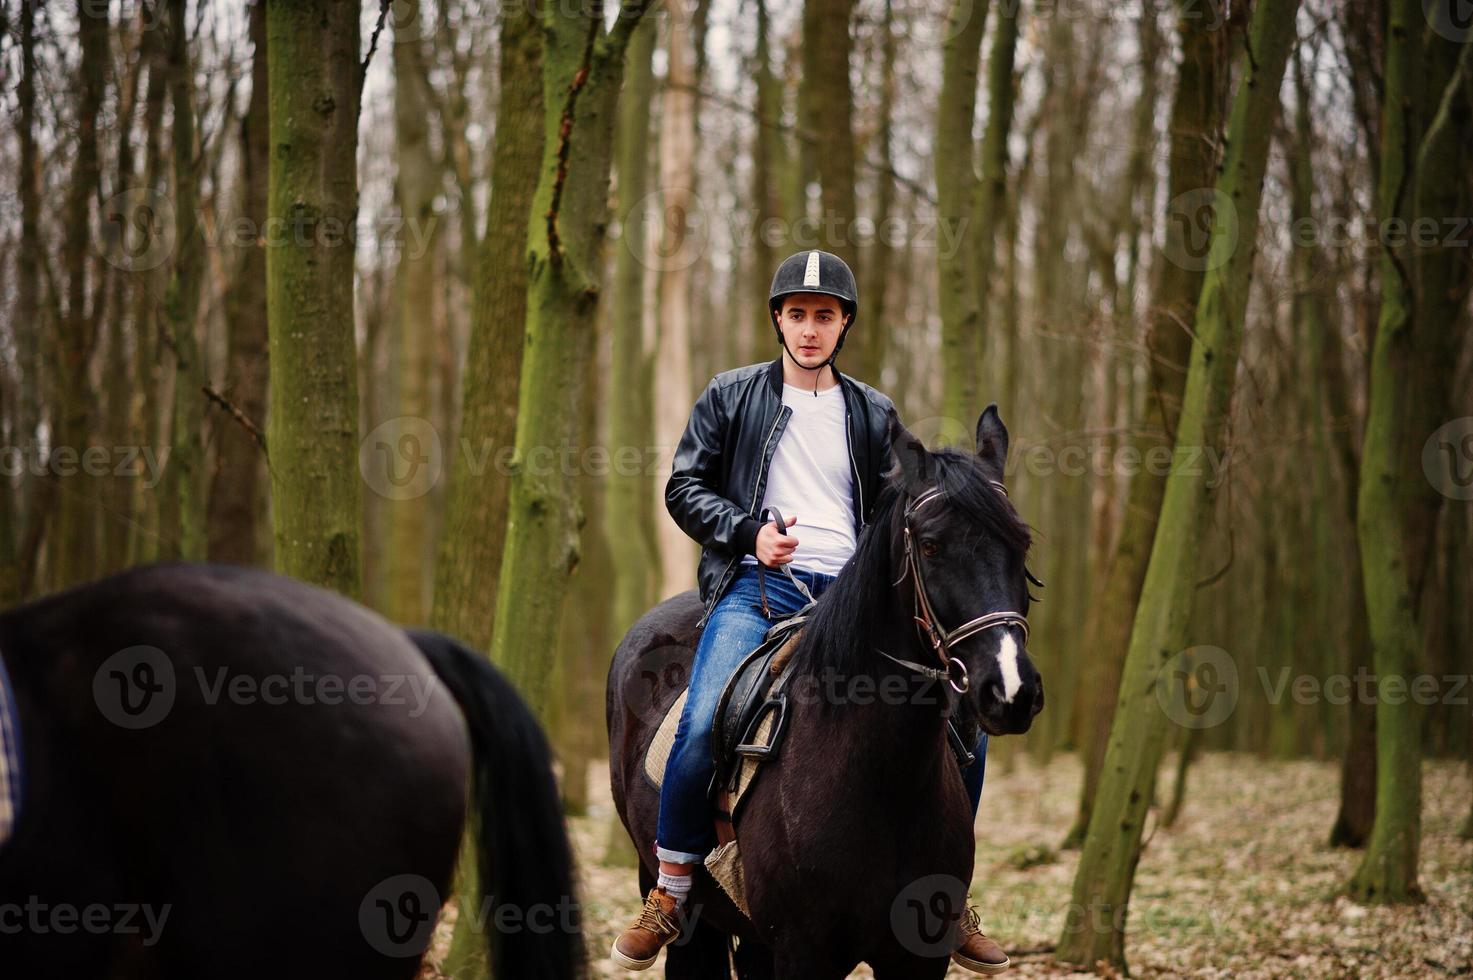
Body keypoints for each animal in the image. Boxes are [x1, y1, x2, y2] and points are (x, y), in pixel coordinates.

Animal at [609, 406, 1048, 978]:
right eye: (931, 545)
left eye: (1022, 543)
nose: (1011, 689)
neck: (880, 780)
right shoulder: (802, 953)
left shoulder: (918, 957)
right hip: (674, 893)